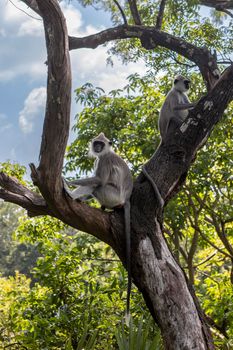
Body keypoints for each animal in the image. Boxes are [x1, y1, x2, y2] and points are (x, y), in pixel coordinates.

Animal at [62, 132, 134, 322]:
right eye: (96, 143)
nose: (98, 148)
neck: (106, 153)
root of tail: (126, 199)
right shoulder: (99, 159)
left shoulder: (104, 161)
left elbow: (99, 179)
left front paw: (68, 182)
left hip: (111, 195)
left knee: (97, 185)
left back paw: (71, 194)